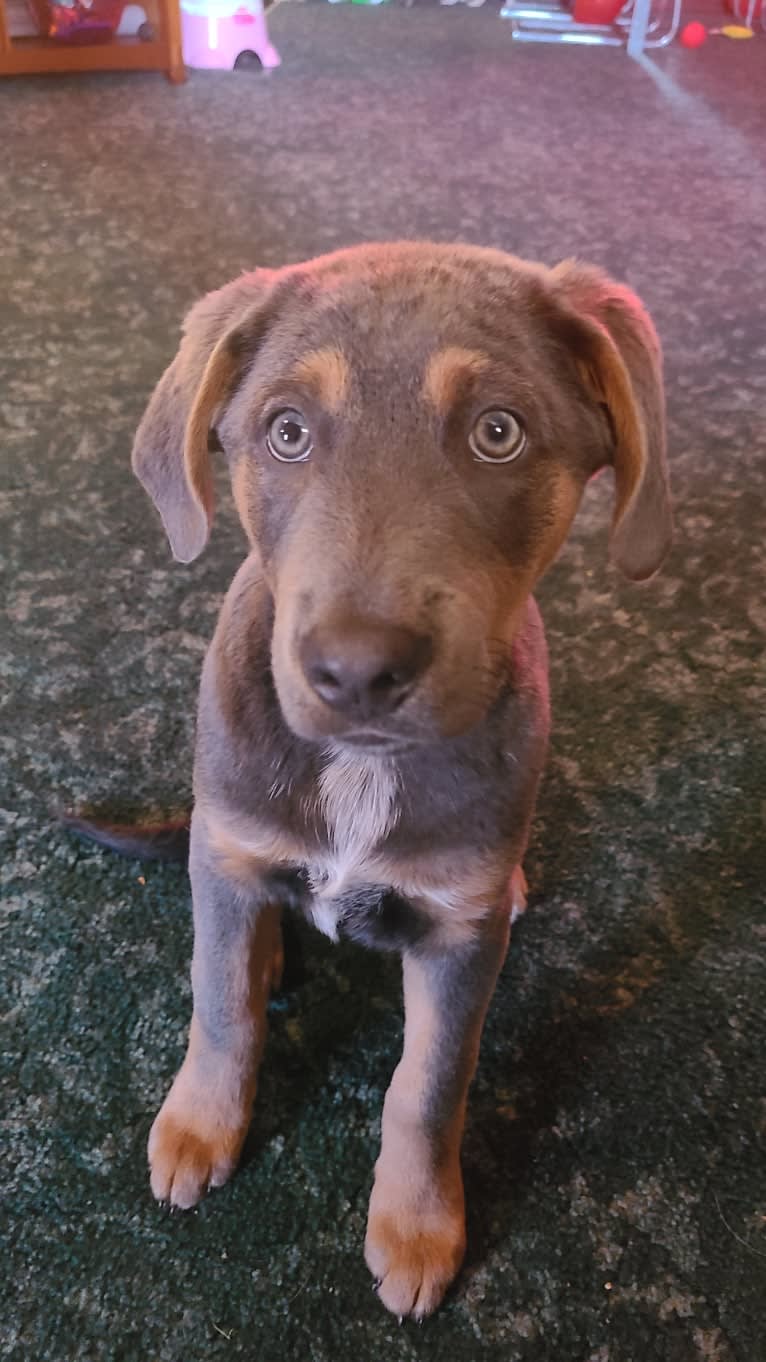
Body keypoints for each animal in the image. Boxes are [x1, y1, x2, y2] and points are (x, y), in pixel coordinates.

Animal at [105, 242, 667, 1318]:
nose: (357, 670)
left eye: (498, 431)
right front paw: (200, 1124)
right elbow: (220, 1003)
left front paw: (417, 1225)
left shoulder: (457, 935)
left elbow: (427, 1085)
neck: (364, 770)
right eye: (286, 431)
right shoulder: (228, 850)